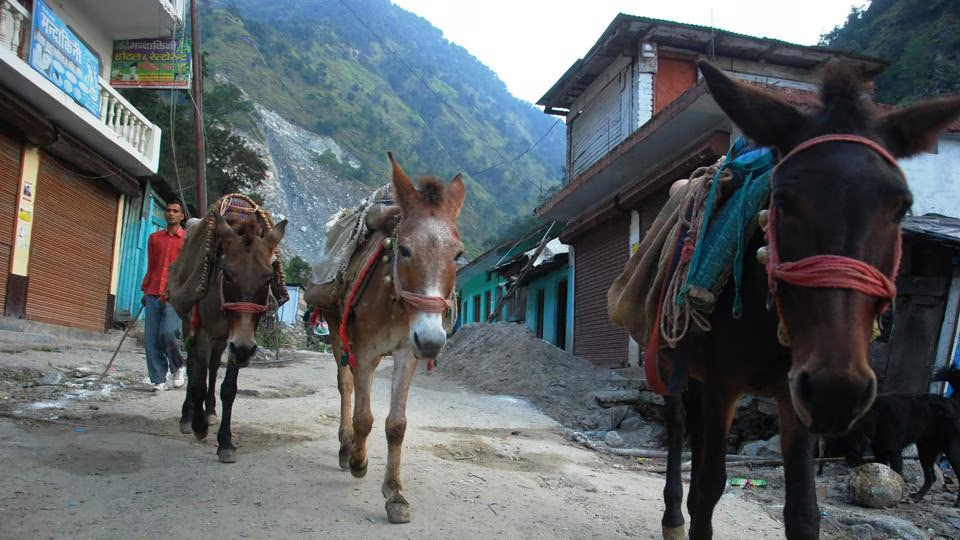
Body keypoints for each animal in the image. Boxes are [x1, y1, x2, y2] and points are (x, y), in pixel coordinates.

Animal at [167, 196, 287, 463]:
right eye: (228, 274)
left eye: (268, 278)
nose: (242, 349)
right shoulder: (206, 334)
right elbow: (198, 383)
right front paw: (198, 426)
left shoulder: (239, 340)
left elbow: (229, 389)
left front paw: (225, 443)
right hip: (192, 326)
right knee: (194, 366)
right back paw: (188, 416)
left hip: (223, 340)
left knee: (213, 368)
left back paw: (210, 411)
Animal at [319, 153, 465, 523]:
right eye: (406, 250)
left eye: (457, 254)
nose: (432, 341)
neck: (395, 301)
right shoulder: (365, 351)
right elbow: (365, 417)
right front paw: (359, 461)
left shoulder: (405, 353)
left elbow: (396, 424)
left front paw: (395, 493)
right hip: (337, 331)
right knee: (346, 386)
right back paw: (346, 446)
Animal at [628, 61, 960, 539]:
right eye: (783, 199)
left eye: (902, 207)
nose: (838, 390)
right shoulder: (725, 385)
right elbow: (708, 489)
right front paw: (691, 511)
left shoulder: (794, 396)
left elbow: (804, 511)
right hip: (670, 361)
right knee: (677, 428)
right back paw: (672, 517)